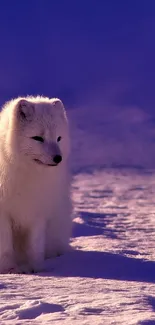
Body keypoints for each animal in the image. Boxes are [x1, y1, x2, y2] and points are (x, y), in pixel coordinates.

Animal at [0, 95, 72, 272]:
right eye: (38, 138)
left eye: (58, 138)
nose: (58, 158)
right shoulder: (3, 212)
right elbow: (5, 246)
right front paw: (9, 269)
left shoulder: (37, 209)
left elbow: (35, 245)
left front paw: (37, 268)